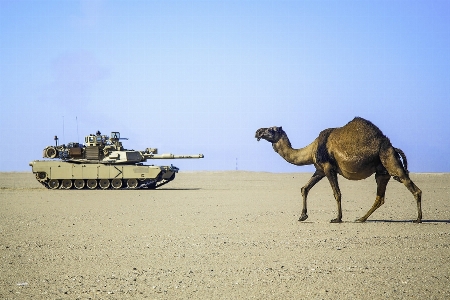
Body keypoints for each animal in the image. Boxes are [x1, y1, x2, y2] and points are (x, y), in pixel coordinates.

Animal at [256, 117, 422, 223]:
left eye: (271, 129)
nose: (258, 131)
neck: (312, 149)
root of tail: (393, 147)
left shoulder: (329, 168)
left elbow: (337, 193)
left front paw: (337, 218)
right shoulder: (320, 170)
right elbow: (305, 188)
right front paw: (302, 216)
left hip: (389, 159)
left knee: (411, 186)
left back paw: (418, 219)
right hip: (382, 172)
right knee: (380, 197)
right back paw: (361, 219)